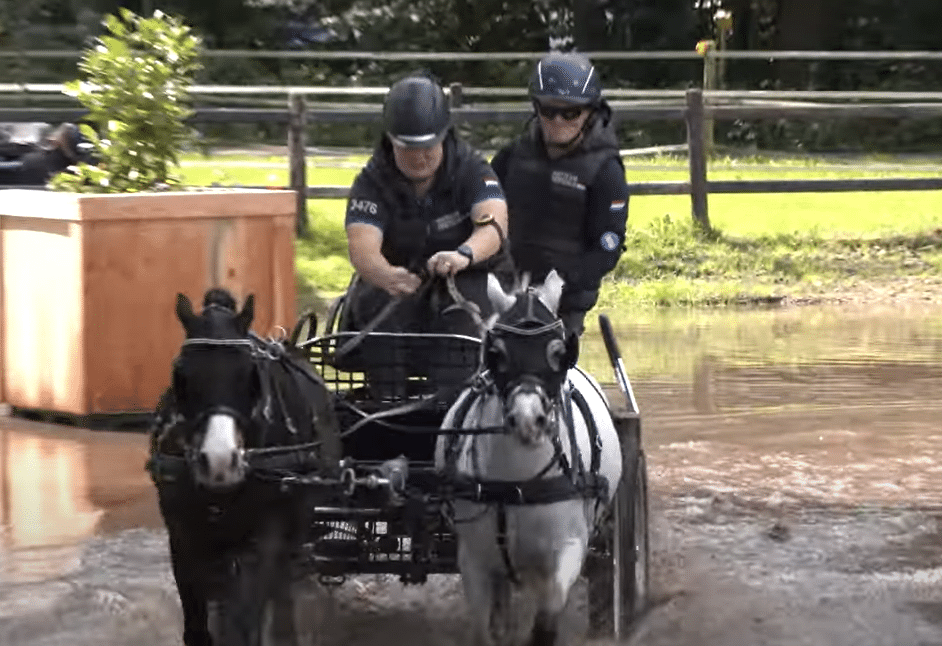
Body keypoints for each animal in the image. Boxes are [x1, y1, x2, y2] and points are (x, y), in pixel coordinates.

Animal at [146, 290, 342, 646]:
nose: (220, 461)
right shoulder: (181, 534)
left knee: (281, 588)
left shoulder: (265, 535)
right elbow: (198, 626)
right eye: (179, 374)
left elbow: (246, 619)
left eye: (250, 374)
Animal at [436, 272, 628, 646]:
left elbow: (546, 622)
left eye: (559, 352)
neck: (517, 485)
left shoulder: (568, 550)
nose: (529, 420)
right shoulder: (473, 561)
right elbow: (483, 630)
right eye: (496, 353)